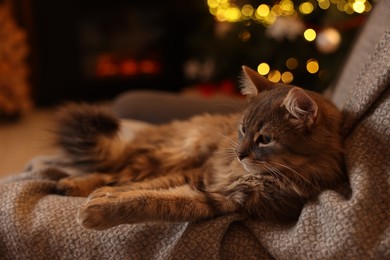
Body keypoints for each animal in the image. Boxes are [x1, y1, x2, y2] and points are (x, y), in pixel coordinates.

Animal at [54, 66, 344, 231]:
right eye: (243, 129)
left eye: (265, 139)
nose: (239, 154)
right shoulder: (201, 172)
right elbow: (146, 187)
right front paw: (105, 194)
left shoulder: (225, 199)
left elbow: (153, 200)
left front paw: (101, 207)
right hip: (179, 152)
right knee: (119, 170)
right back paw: (71, 184)